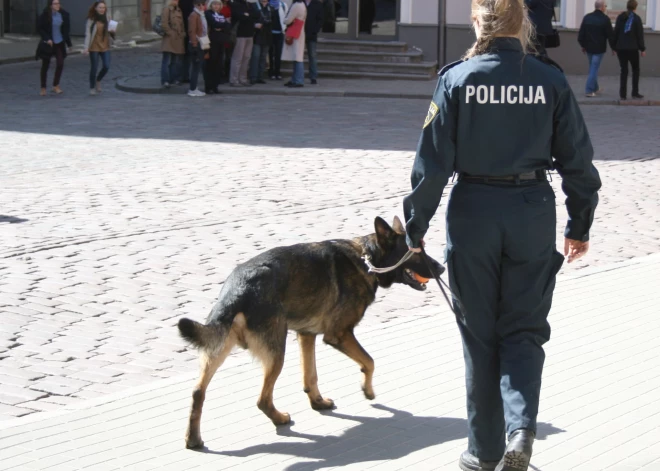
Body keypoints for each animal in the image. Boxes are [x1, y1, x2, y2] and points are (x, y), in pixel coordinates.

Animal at [178, 217, 444, 450]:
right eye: (416, 253)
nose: (441, 267)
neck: (367, 258)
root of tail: (237, 290)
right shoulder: (339, 334)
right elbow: (369, 361)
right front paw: (367, 390)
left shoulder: (306, 335)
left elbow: (310, 376)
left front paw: (318, 402)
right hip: (277, 353)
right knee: (262, 399)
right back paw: (279, 418)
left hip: (217, 350)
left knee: (198, 392)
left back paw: (194, 439)